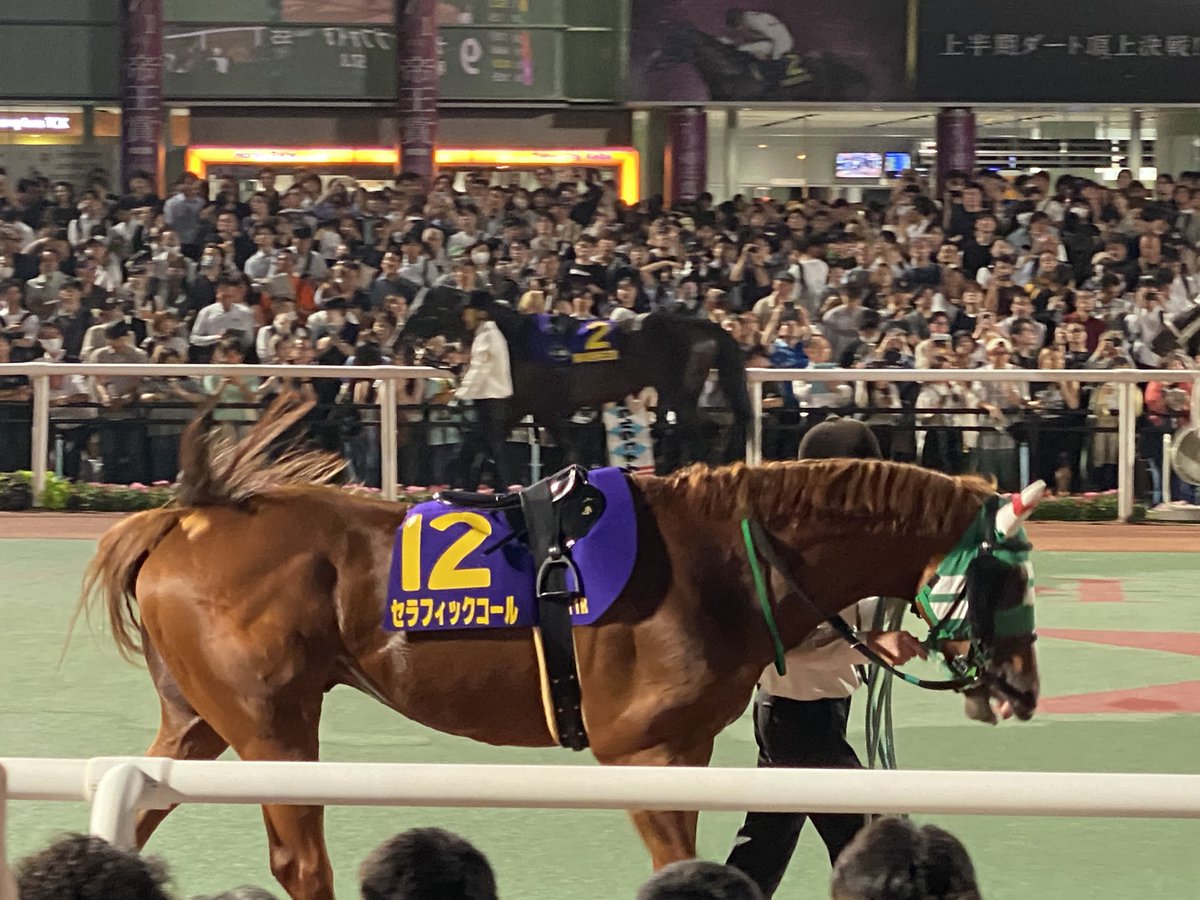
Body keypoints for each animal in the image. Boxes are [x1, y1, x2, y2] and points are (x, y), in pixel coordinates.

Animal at [76, 399, 1040, 900]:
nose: (1022, 690)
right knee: (298, 862)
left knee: (148, 806)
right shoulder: (647, 753)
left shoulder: (691, 750)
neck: (724, 559)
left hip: (201, 718)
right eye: (1004, 575)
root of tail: (184, 518)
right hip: (272, 725)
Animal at [403, 289, 751, 470]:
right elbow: (479, 444)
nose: (403, 339)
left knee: (700, 435)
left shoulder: (544, 409)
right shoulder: (516, 407)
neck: (514, 340)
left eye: (430, 304)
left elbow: (566, 451)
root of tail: (703, 326)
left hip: (681, 394)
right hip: (679, 395)